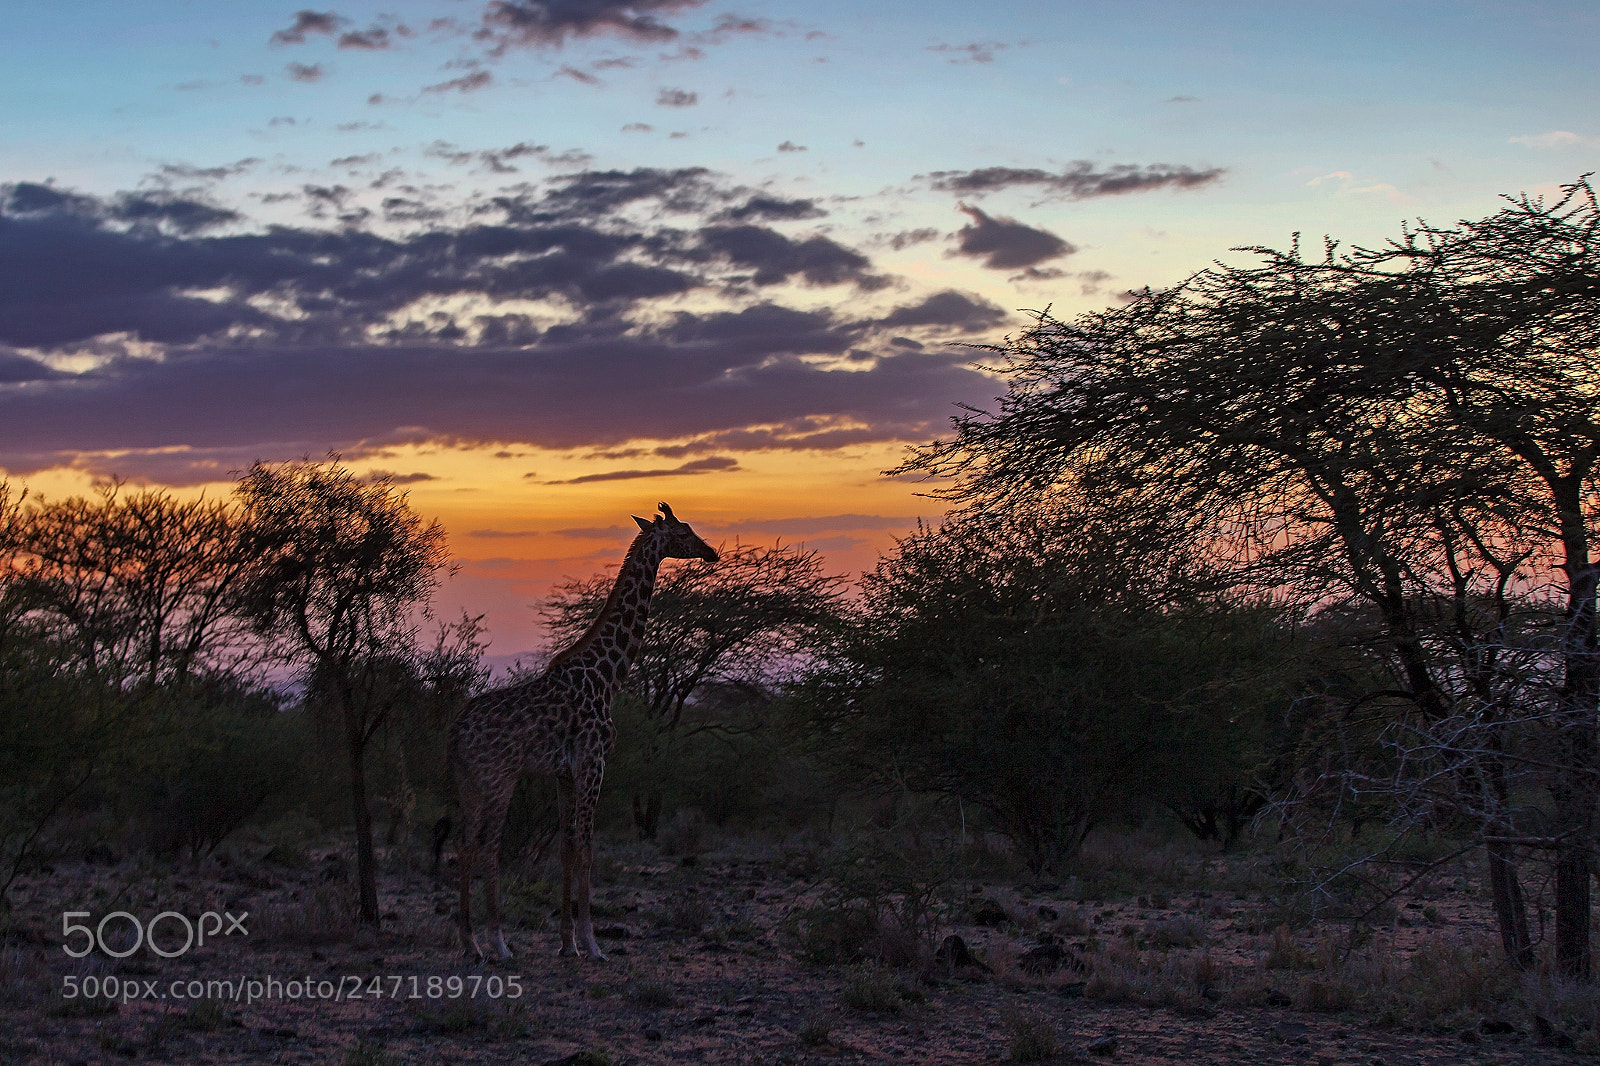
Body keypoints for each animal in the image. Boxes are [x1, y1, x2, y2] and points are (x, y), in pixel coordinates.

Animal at [449, 502, 718, 960]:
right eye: (684, 531)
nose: (711, 552)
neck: (607, 675)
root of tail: (457, 734)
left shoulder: (564, 771)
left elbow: (565, 846)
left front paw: (567, 942)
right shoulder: (594, 761)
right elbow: (588, 847)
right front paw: (592, 943)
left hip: (469, 783)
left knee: (465, 844)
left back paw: (471, 943)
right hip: (499, 778)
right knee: (488, 846)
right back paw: (499, 943)